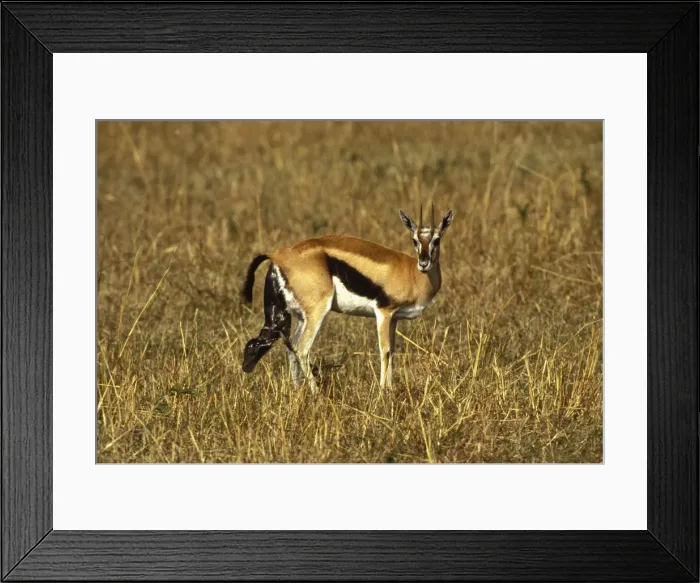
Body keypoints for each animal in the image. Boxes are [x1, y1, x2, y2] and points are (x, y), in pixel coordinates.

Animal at [240, 204, 453, 392]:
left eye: (437, 240)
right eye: (414, 240)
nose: (424, 262)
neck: (412, 273)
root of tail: (278, 255)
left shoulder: (394, 319)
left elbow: (392, 351)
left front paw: (391, 389)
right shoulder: (383, 312)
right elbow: (384, 351)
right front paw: (382, 393)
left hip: (298, 316)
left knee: (288, 347)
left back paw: (296, 390)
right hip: (316, 312)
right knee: (301, 349)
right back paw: (316, 394)